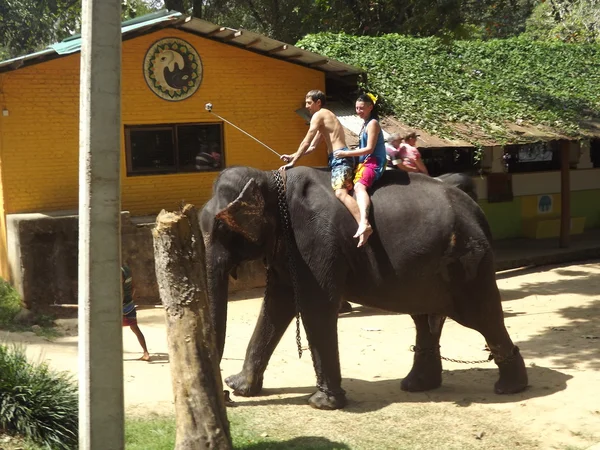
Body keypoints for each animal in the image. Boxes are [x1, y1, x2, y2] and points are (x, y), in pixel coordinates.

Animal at [199, 166, 528, 412]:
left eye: (222, 228)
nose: (226, 398)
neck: (269, 178)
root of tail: (476, 209)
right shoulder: (287, 249)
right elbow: (278, 304)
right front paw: (240, 387)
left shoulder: (315, 240)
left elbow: (315, 306)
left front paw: (322, 404)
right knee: (425, 318)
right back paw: (417, 385)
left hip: (470, 261)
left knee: (482, 316)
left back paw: (510, 388)